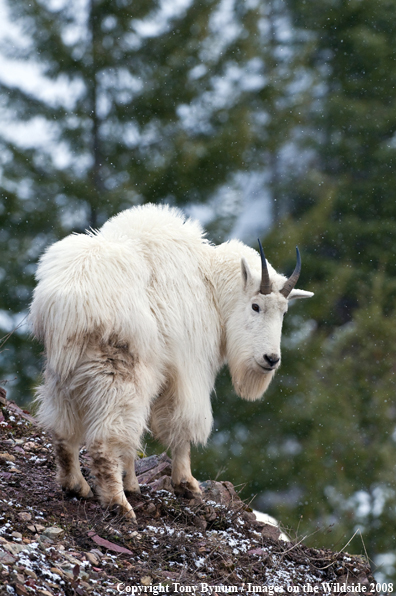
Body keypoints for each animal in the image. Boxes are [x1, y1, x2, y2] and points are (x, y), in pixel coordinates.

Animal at [31, 203, 314, 520]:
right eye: (256, 306)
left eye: (284, 311)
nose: (270, 359)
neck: (210, 286)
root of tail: (68, 303)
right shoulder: (188, 368)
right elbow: (182, 424)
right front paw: (187, 484)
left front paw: (134, 483)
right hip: (118, 370)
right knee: (107, 438)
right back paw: (119, 504)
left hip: (65, 370)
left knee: (64, 429)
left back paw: (77, 485)